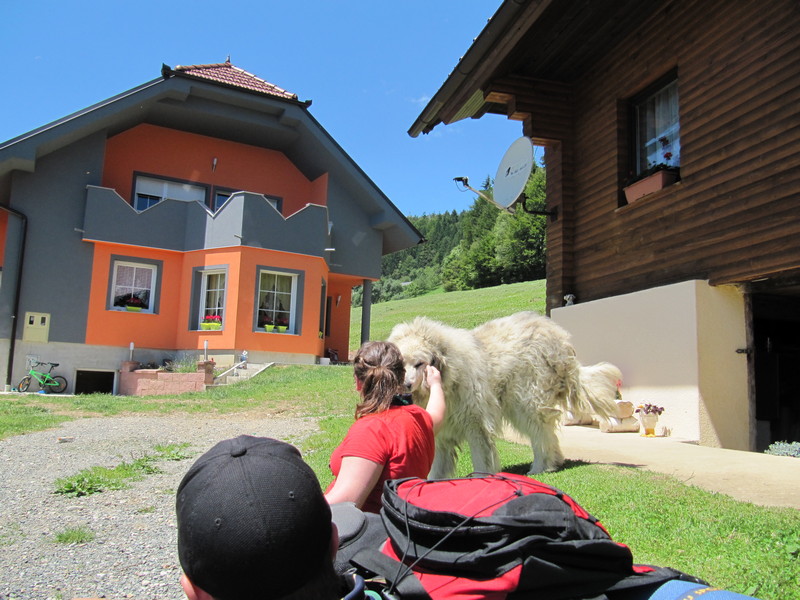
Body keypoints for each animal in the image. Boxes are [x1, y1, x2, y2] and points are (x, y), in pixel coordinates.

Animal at [388, 311, 621, 477]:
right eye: (399, 365)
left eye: (419, 364)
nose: (406, 385)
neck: (448, 375)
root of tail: (555, 337)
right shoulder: (441, 430)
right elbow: (437, 467)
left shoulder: (476, 423)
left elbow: (480, 456)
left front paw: (481, 479)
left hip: (525, 403)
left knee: (541, 435)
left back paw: (540, 467)